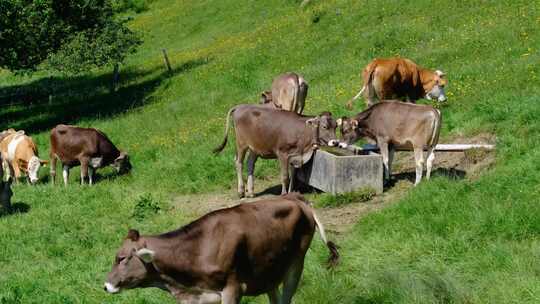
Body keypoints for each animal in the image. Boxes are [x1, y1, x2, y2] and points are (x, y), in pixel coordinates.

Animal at [104, 194, 340, 302]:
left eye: (121, 258)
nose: (105, 286)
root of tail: (294, 196)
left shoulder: (233, 289)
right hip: (269, 271)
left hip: (296, 264)